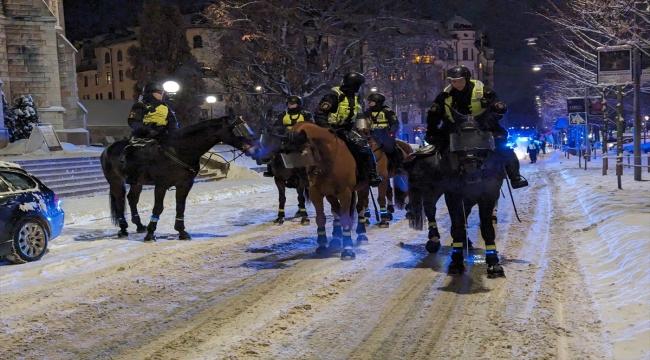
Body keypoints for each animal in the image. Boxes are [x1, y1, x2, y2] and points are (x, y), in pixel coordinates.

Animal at [100, 116, 256, 242]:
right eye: (237, 129)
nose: (254, 147)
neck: (179, 151)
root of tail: (107, 150)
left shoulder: (185, 184)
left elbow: (180, 207)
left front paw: (181, 232)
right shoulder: (161, 185)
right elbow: (158, 208)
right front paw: (150, 234)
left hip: (136, 182)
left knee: (132, 198)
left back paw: (138, 225)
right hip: (115, 181)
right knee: (120, 201)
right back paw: (123, 228)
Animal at [404, 116, 506, 278]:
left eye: (482, 140)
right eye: (456, 141)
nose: (470, 168)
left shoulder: (488, 196)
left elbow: (486, 227)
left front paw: (494, 263)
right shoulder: (453, 196)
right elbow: (456, 226)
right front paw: (456, 262)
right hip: (433, 190)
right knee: (430, 209)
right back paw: (433, 239)